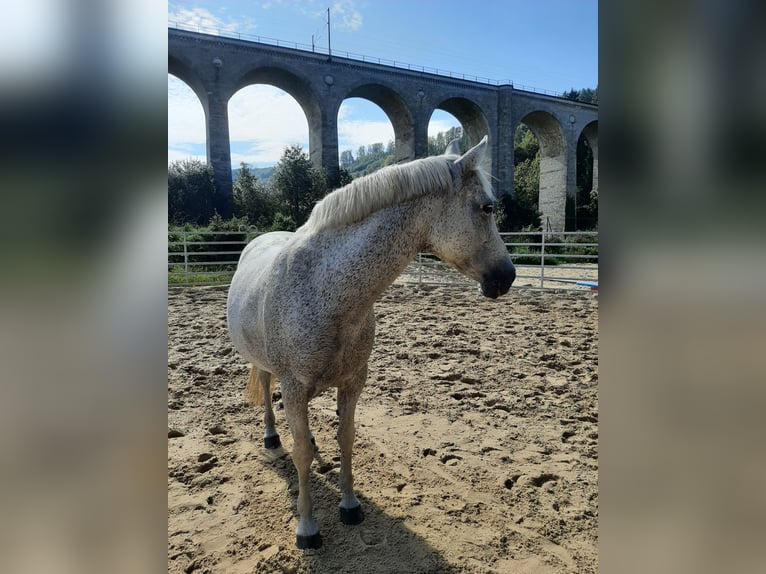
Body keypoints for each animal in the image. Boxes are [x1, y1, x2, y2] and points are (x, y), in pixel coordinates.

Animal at [226, 136, 515, 549]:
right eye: (487, 207)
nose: (508, 276)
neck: (326, 290)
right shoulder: (294, 387)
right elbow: (301, 456)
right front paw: (307, 528)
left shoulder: (353, 382)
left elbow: (345, 439)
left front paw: (350, 506)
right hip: (268, 368)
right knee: (266, 390)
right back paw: (270, 437)